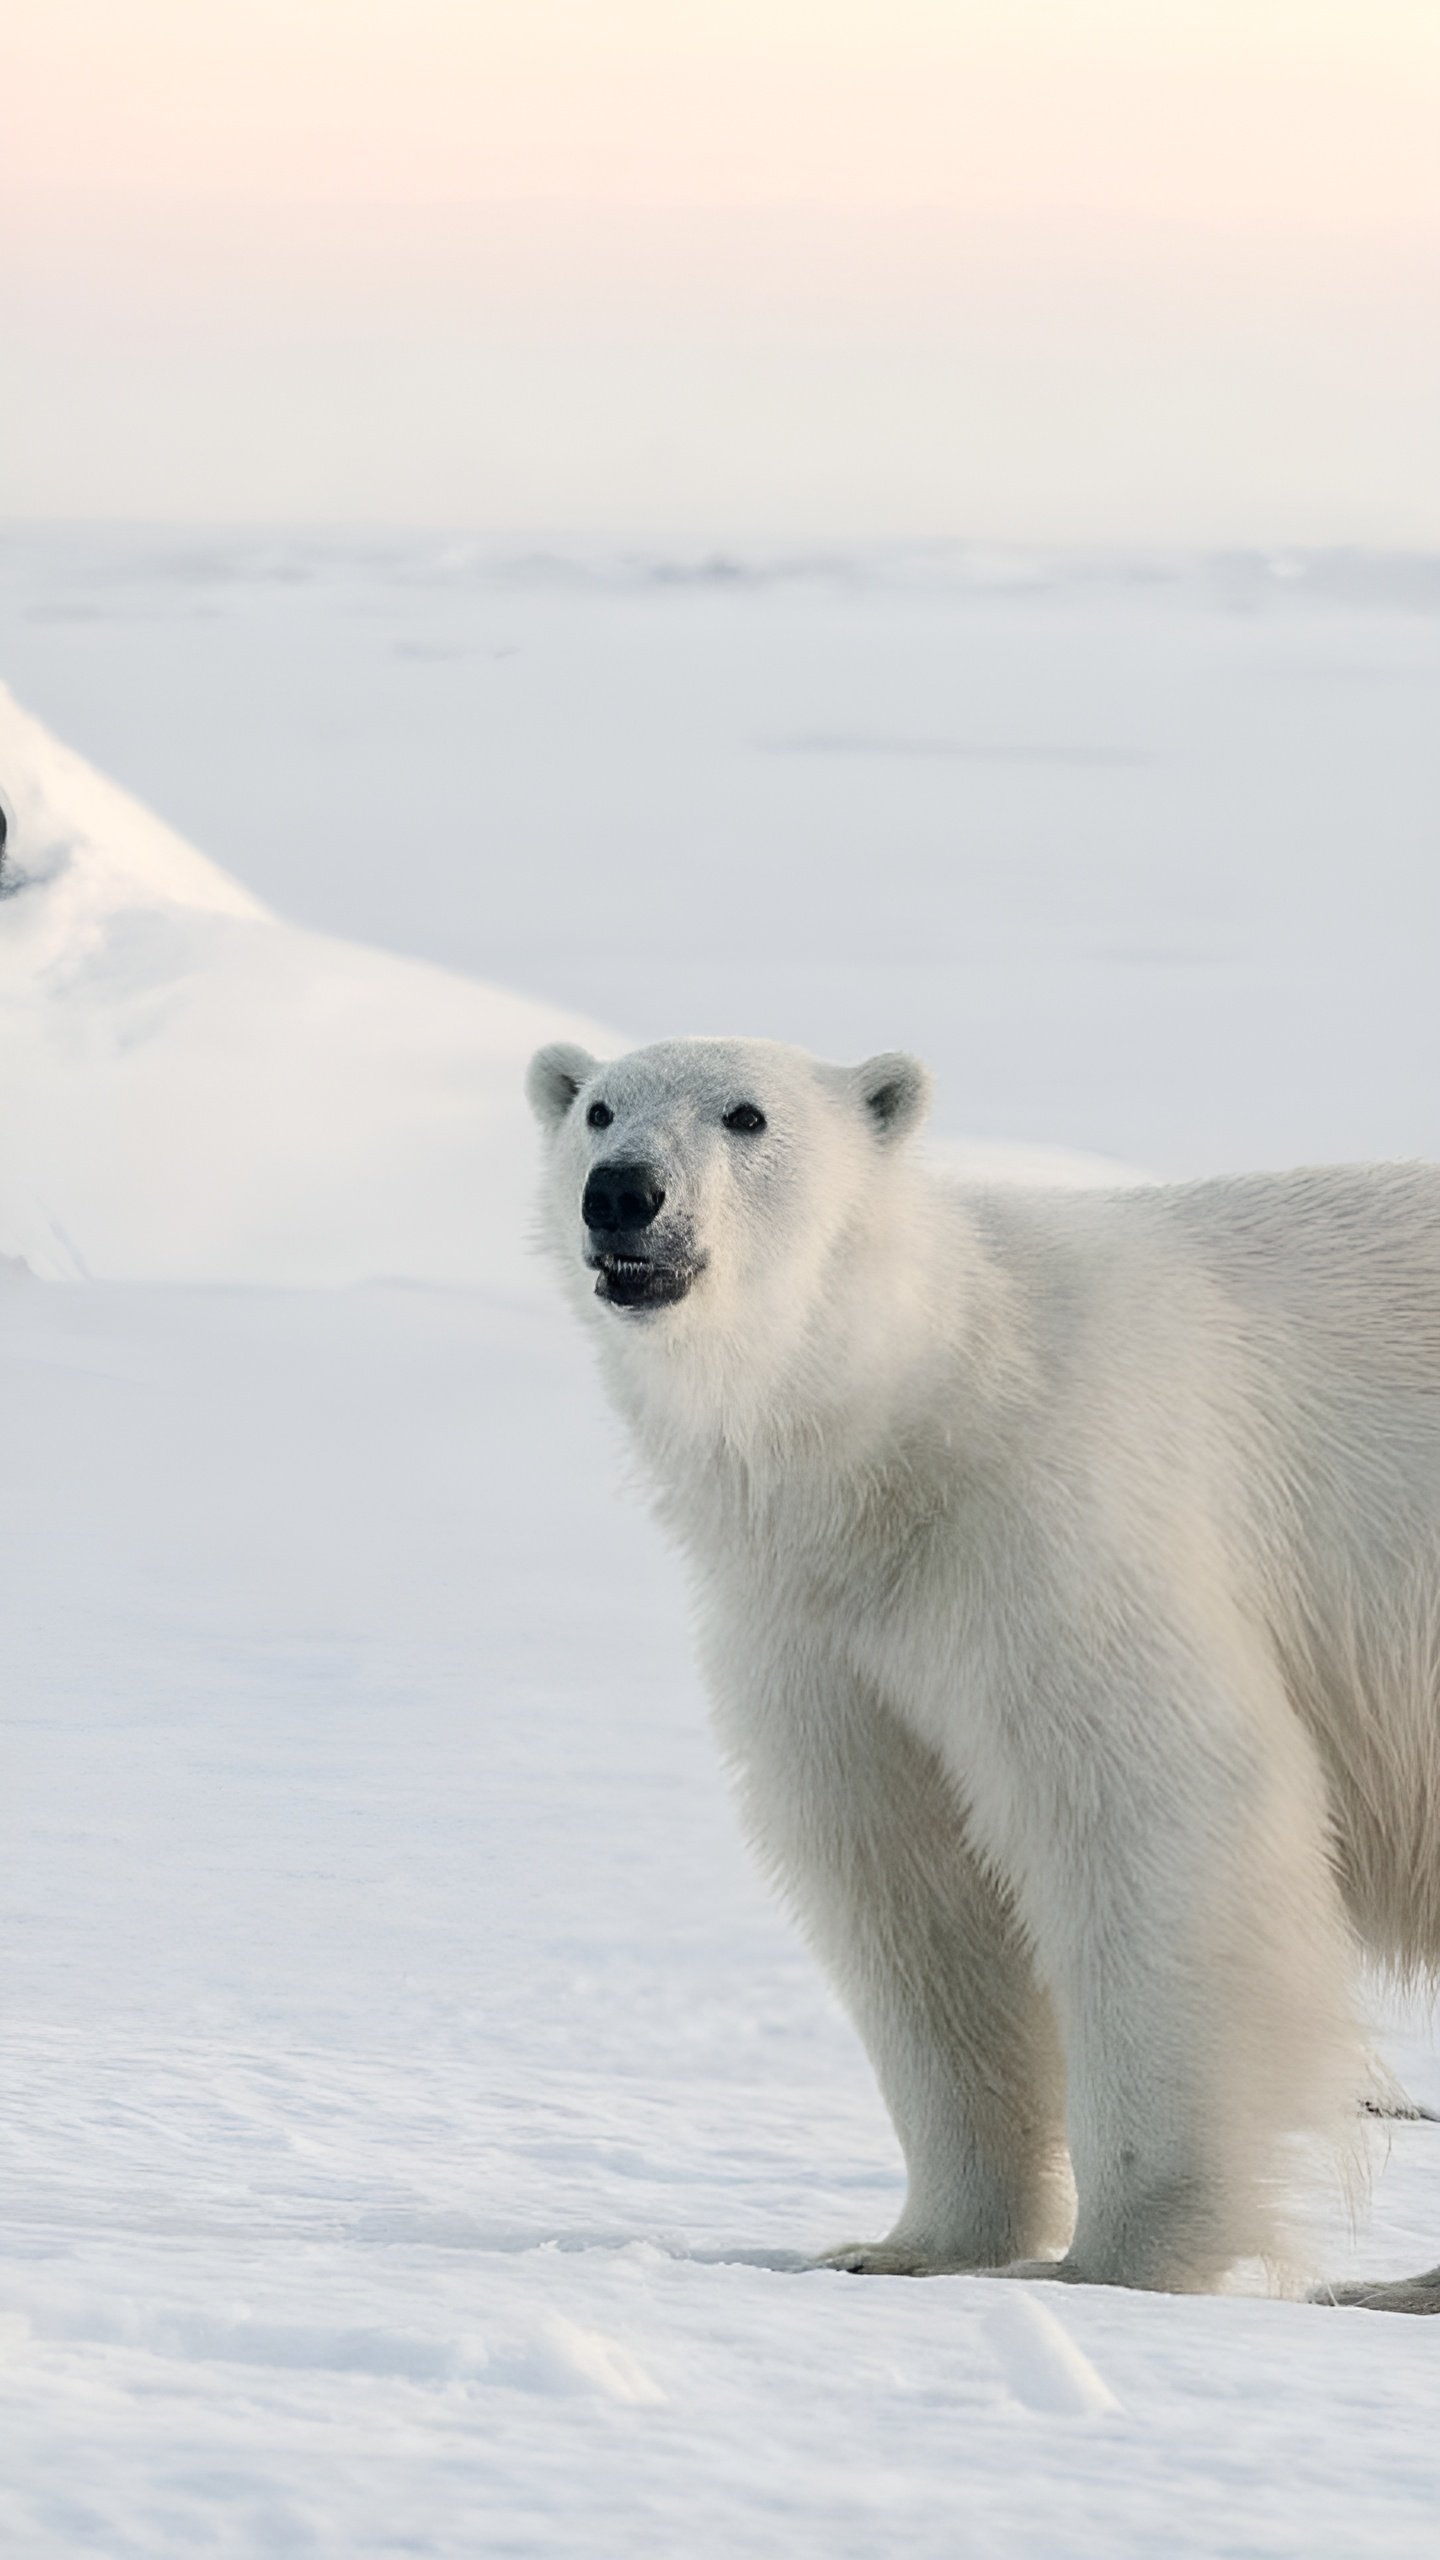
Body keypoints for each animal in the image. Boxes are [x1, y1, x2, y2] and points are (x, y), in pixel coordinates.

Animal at [525, 1029, 1434, 2314]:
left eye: (747, 1115)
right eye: (599, 1109)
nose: (623, 1193)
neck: (921, 1415)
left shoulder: (1061, 1516)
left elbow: (1156, 1813)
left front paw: (1122, 2261)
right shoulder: (827, 1631)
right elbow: (912, 1886)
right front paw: (910, 2243)